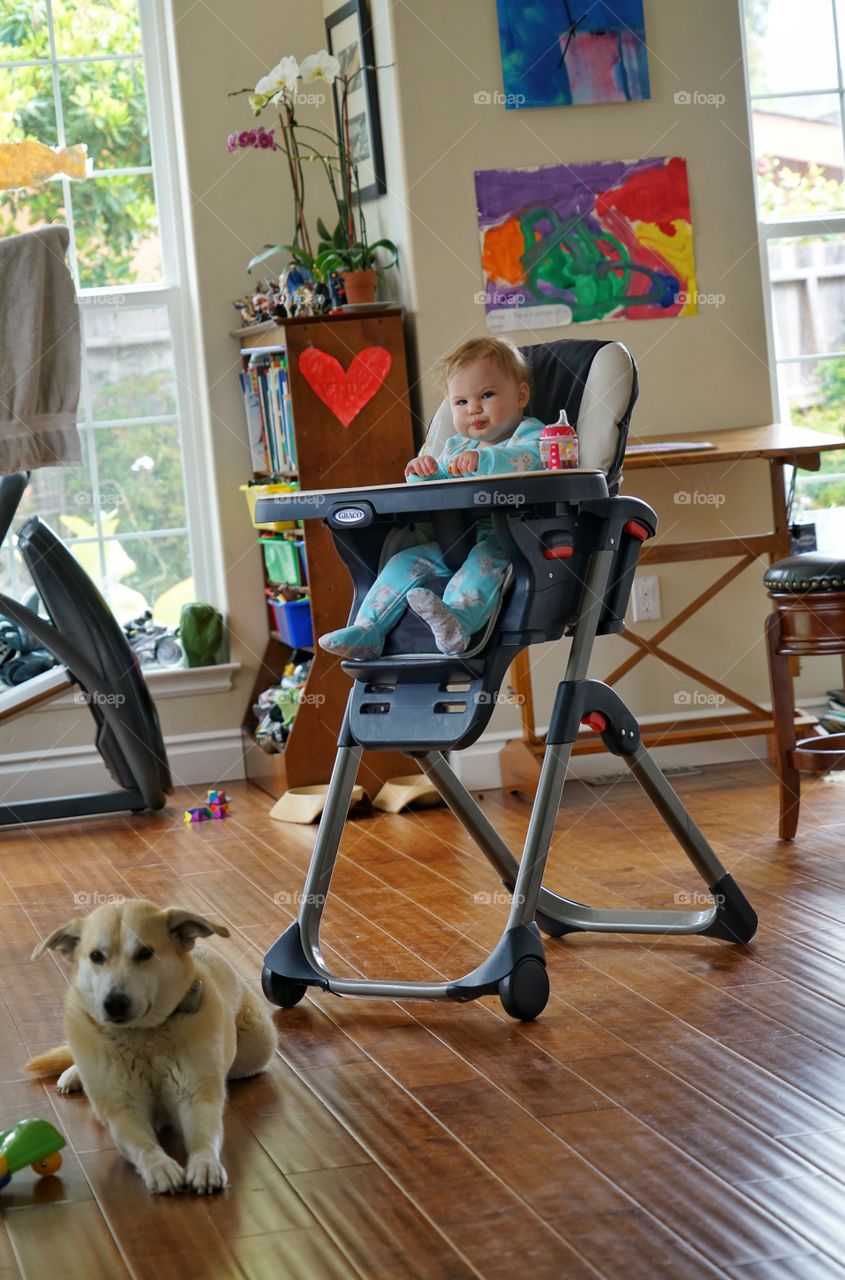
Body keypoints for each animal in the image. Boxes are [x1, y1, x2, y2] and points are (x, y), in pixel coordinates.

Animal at [24, 901, 277, 1187]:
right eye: (96, 956)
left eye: (145, 953)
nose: (114, 1004)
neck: (142, 1037)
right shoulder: (124, 1109)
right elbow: (143, 1144)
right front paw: (160, 1166)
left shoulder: (196, 1096)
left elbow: (204, 1137)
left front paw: (205, 1163)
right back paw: (75, 1073)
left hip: (256, 1048)